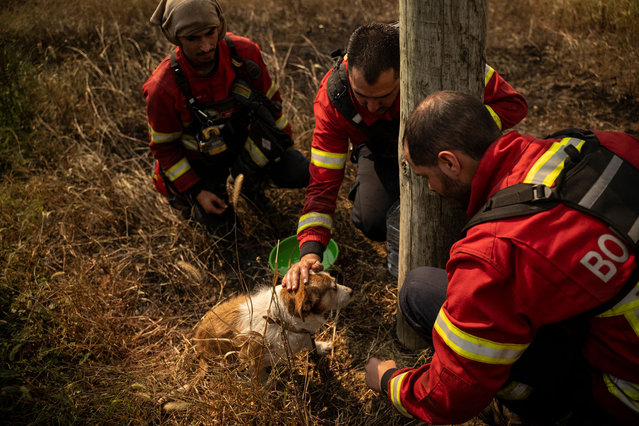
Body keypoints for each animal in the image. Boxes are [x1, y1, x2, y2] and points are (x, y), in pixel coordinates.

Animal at [195, 272, 356, 384]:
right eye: (334, 287)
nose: (351, 291)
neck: (282, 320)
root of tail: (199, 346)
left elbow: (311, 344)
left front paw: (322, 347)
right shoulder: (254, 360)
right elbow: (259, 375)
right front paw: (265, 386)